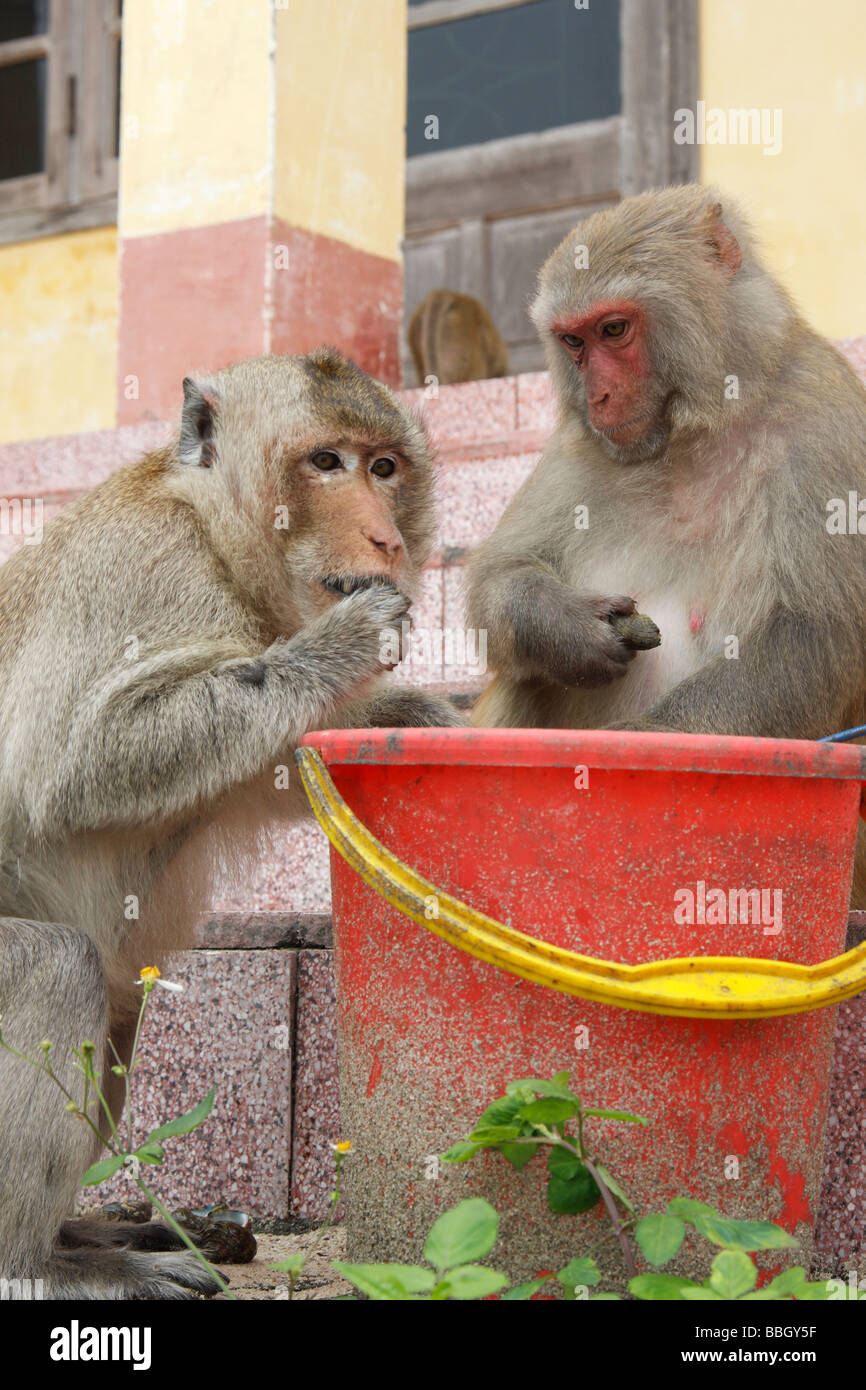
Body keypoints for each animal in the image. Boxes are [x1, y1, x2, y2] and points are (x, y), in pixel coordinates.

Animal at [0, 341, 464, 1295]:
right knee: (54, 968)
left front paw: (415, 722)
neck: (213, 536)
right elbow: (77, 765)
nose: (389, 538)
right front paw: (340, 649)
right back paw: (39, 1264)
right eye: (326, 461)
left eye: (385, 468)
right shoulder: (145, 567)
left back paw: (91, 1237)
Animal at [469, 187, 866, 772]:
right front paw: (565, 627)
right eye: (573, 342)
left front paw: (643, 739)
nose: (599, 397)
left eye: (613, 329)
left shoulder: (823, 427)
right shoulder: (579, 444)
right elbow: (499, 574)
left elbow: (815, 631)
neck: (695, 426)